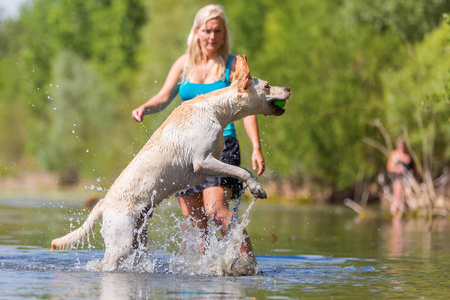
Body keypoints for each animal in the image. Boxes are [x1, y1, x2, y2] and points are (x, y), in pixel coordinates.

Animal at [51, 55, 292, 270]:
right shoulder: (203, 161)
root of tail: (103, 203)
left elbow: (238, 168)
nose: (289, 88)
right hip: (121, 241)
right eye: (268, 86)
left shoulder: (209, 165)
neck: (217, 110)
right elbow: (242, 171)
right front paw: (256, 187)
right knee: (106, 264)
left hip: (139, 236)